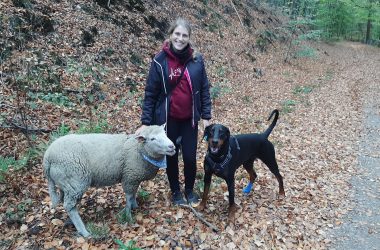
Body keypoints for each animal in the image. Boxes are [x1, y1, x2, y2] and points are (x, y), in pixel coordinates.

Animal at [43, 124, 175, 237]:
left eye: (165, 133)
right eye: (152, 138)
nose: (172, 146)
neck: (139, 149)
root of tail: (47, 157)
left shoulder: (134, 178)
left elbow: (133, 193)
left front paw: (135, 206)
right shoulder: (129, 176)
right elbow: (129, 196)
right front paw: (128, 214)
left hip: (67, 184)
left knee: (67, 202)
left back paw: (71, 222)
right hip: (76, 181)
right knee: (69, 206)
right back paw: (84, 231)